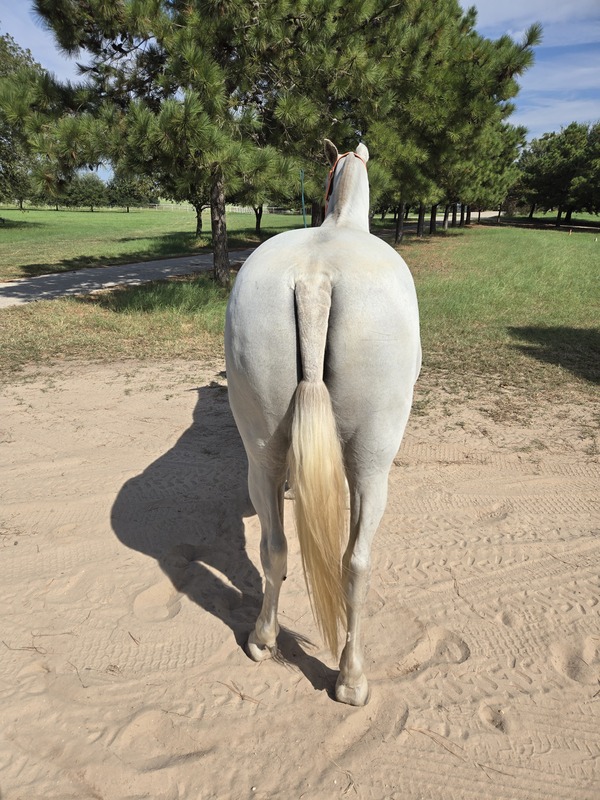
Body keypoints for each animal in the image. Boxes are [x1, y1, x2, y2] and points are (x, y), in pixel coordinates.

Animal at [224, 140, 421, 705]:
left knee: (273, 548)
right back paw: (351, 679)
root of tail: (313, 282)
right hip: (373, 464)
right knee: (356, 564)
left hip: (262, 452)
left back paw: (262, 638)